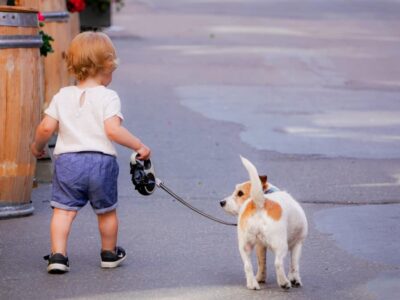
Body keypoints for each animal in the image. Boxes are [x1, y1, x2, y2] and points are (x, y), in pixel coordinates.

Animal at [220, 157, 308, 290]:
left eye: (240, 193)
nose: (222, 202)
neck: (267, 193)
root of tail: (259, 203)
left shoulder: (260, 246)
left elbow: (261, 263)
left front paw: (260, 278)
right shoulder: (297, 243)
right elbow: (294, 264)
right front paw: (295, 279)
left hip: (244, 246)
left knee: (247, 266)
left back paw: (252, 284)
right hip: (281, 245)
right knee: (278, 263)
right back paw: (284, 283)